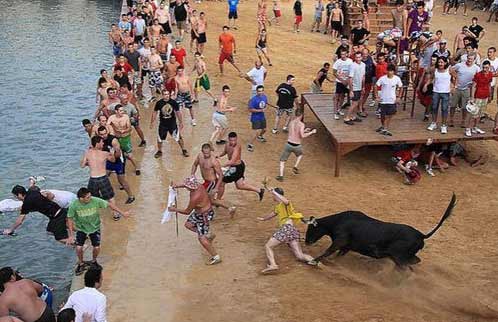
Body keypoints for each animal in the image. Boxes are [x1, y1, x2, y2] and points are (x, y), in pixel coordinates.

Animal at [304, 194, 456, 266]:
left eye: (310, 229)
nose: (306, 242)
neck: (340, 221)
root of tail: (421, 235)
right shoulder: (346, 247)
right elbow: (337, 255)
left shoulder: (340, 241)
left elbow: (328, 252)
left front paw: (313, 261)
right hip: (404, 256)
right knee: (414, 262)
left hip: (398, 256)